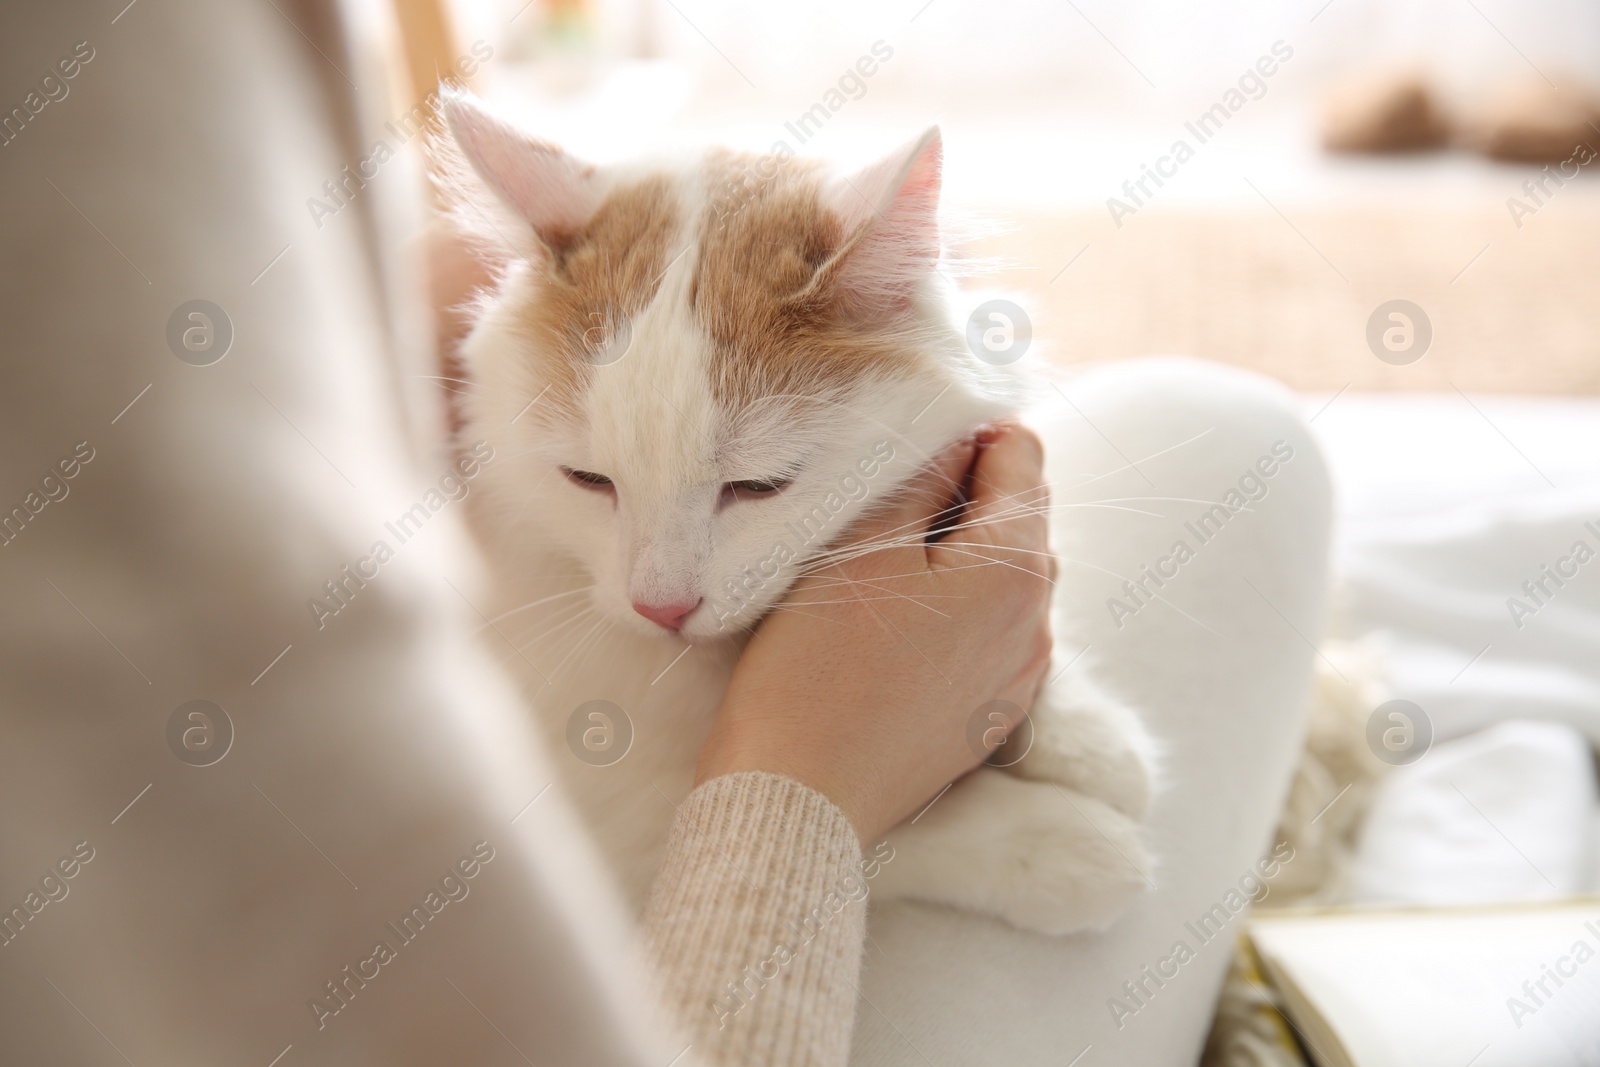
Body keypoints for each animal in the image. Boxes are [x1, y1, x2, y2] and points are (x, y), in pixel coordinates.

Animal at [435, 91, 1152, 934]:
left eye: (759, 486)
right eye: (587, 480)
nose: (660, 608)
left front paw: (1090, 735)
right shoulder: (623, 830)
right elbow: (888, 829)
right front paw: (1060, 844)